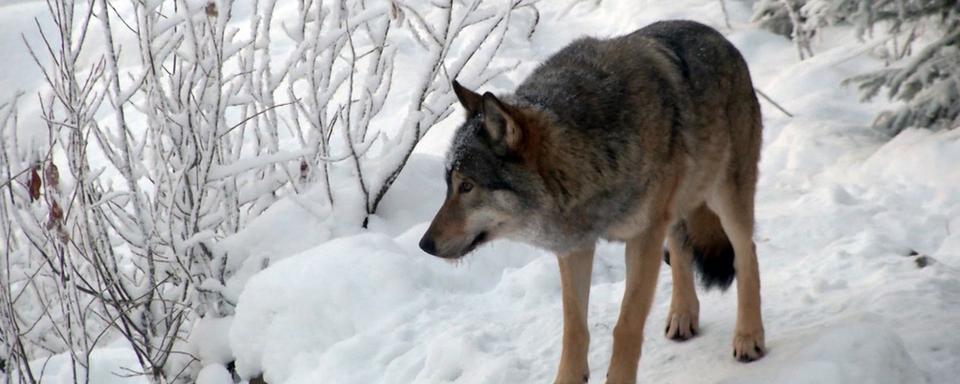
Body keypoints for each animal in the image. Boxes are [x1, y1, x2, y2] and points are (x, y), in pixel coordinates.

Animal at [420, 21, 764, 384]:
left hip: (725, 198)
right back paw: (682, 316)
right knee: (682, 250)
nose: (425, 245)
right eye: (448, 185)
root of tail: (720, 38)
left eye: (467, 186)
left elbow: (626, 325)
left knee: (747, 253)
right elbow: (574, 330)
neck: (588, 157)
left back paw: (749, 337)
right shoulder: (575, 248)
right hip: (675, 209)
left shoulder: (643, 238)